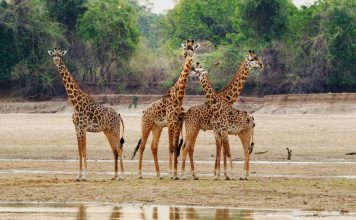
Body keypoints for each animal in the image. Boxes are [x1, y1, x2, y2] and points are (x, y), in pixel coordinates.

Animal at [47, 47, 125, 180]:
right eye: (53, 55)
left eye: (60, 55)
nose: (56, 61)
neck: (75, 102)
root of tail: (119, 116)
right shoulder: (77, 128)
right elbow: (80, 151)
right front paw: (78, 175)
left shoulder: (83, 128)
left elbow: (84, 151)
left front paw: (85, 175)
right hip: (107, 131)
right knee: (114, 150)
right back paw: (114, 176)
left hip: (115, 130)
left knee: (119, 149)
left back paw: (122, 176)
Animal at [131, 40, 200, 180]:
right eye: (185, 52)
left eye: (193, 51)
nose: (191, 61)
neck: (178, 97)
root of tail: (144, 112)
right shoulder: (171, 123)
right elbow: (171, 147)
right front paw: (171, 174)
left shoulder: (178, 123)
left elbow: (175, 147)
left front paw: (175, 174)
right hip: (146, 125)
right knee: (142, 146)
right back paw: (140, 174)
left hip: (157, 128)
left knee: (153, 147)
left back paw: (158, 174)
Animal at [182, 49, 262, 179]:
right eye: (252, 59)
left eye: (256, 58)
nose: (261, 65)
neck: (227, 98)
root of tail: (185, 114)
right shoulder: (218, 129)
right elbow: (222, 150)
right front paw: (221, 174)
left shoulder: (221, 130)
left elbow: (222, 151)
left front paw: (222, 174)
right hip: (193, 128)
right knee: (187, 147)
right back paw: (185, 174)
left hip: (196, 129)